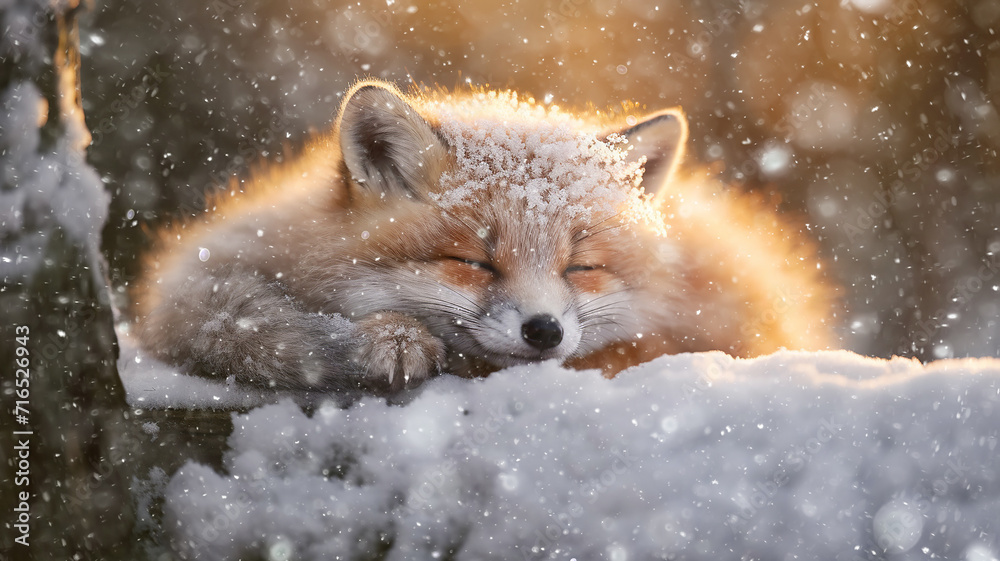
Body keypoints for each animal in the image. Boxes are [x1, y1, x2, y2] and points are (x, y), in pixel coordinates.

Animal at [132, 79, 836, 395]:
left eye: (581, 268)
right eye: (471, 260)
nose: (544, 331)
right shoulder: (205, 273)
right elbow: (243, 326)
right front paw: (390, 339)